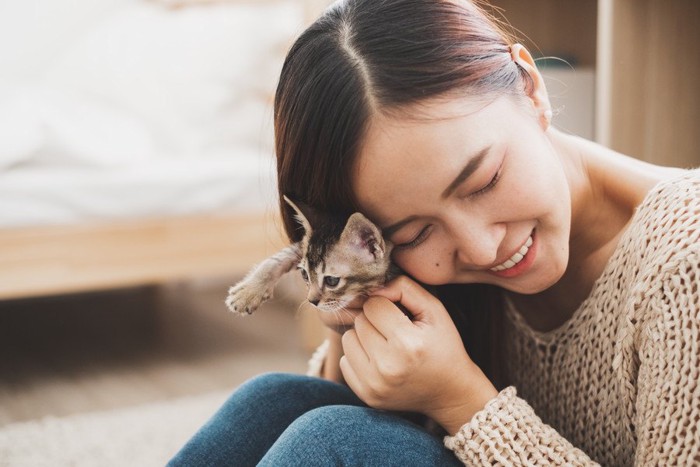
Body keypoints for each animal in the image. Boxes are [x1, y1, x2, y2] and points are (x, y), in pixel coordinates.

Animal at [226, 196, 400, 316]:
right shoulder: (302, 247)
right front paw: (249, 292)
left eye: (332, 281)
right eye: (304, 274)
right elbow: (278, 258)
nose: (312, 301)